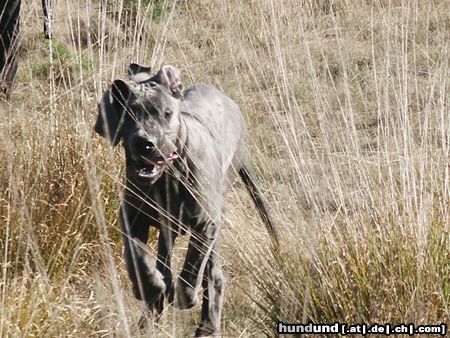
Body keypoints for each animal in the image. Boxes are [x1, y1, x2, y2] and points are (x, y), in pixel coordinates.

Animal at [94, 63, 278, 336]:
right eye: (129, 113)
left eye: (167, 113)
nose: (144, 143)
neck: (167, 178)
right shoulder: (131, 218)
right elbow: (138, 258)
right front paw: (149, 287)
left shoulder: (205, 223)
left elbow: (192, 265)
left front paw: (184, 296)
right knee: (165, 263)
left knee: (213, 276)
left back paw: (206, 326)